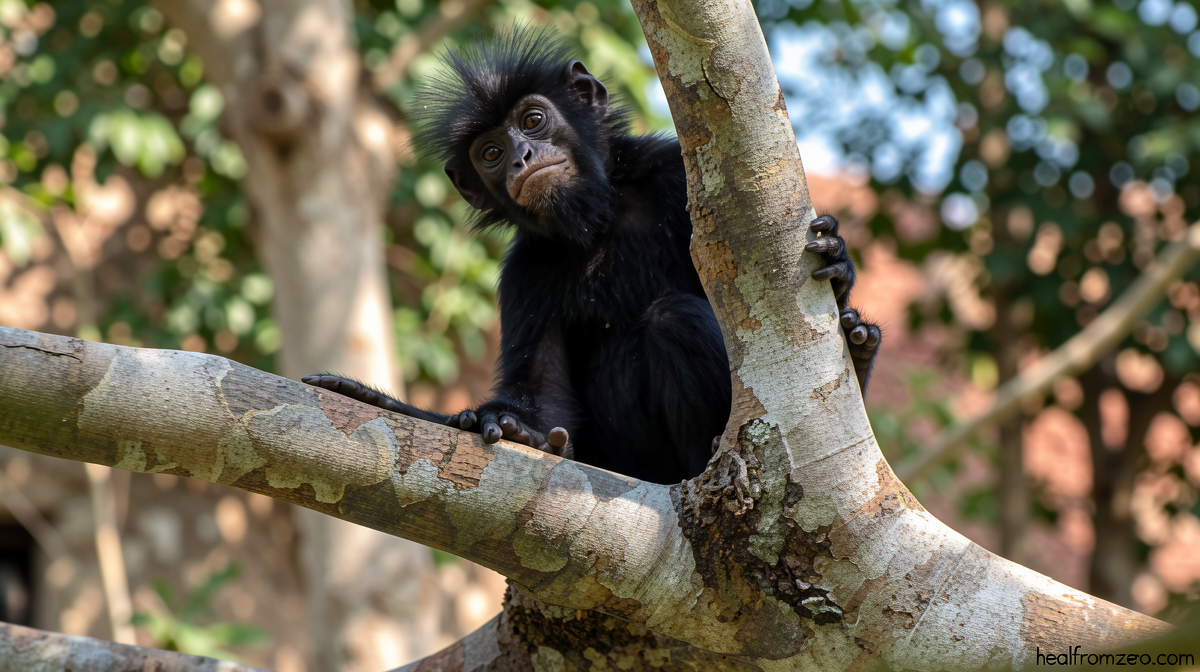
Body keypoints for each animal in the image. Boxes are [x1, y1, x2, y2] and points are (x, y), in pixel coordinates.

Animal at [304, 30, 881, 485]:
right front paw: (507, 428)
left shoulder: (675, 175)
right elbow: (547, 396)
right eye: (490, 153)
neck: (600, 218)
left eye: (533, 120)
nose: (521, 156)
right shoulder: (525, 274)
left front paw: (836, 263)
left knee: (674, 318)